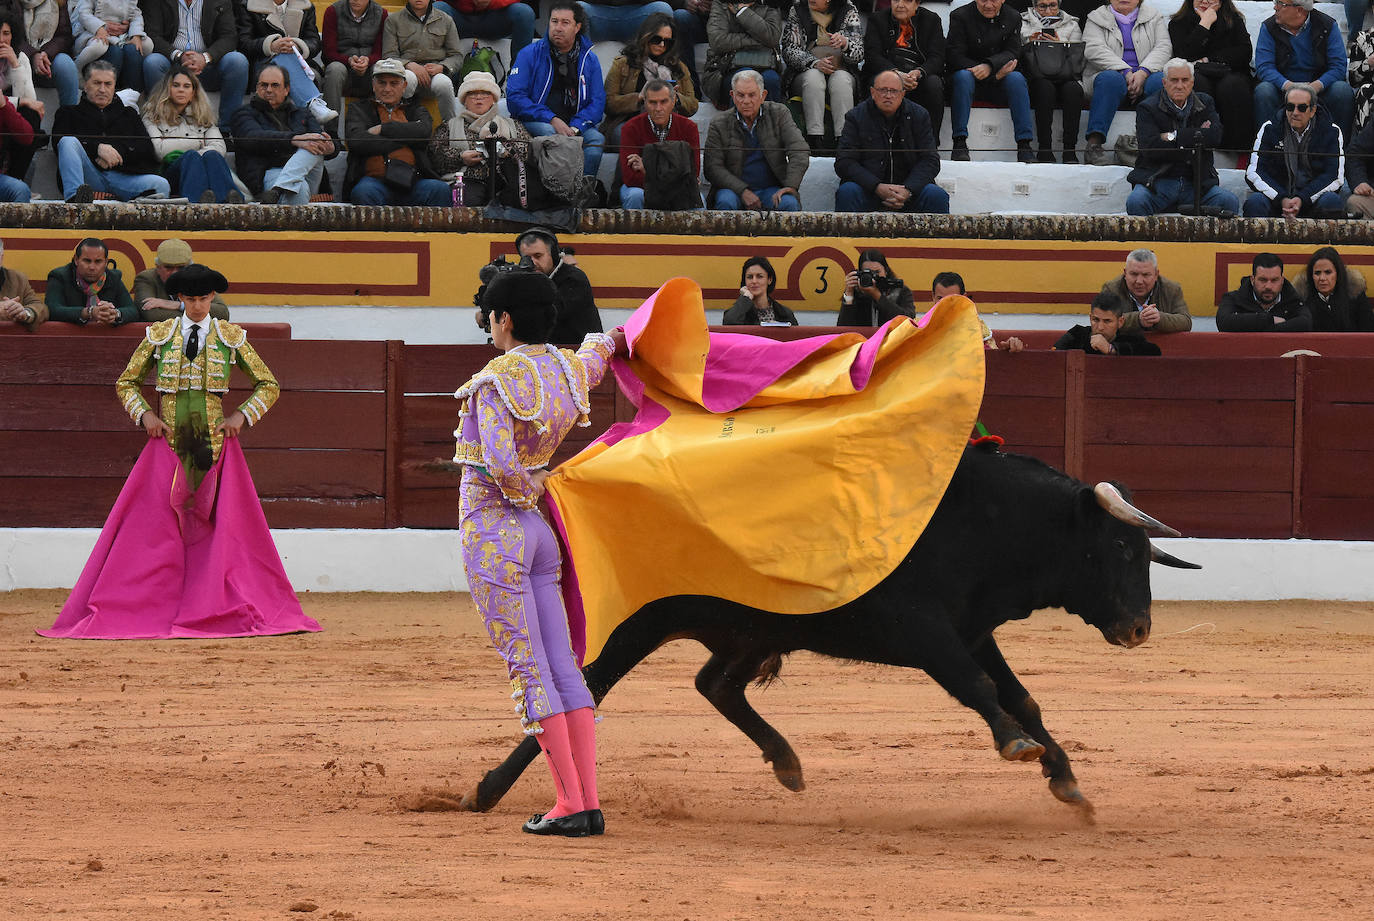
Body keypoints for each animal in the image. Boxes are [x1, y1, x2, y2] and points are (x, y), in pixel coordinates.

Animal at [456, 445, 1198, 813]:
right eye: (1119, 548)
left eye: (1146, 551)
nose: (1139, 627)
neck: (985, 519)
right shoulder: (923, 629)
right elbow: (978, 687)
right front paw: (1018, 746)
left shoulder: (972, 628)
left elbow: (1020, 694)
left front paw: (1065, 777)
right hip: (645, 622)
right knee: (584, 687)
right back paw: (488, 790)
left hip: (749, 631)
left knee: (715, 685)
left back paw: (786, 761)